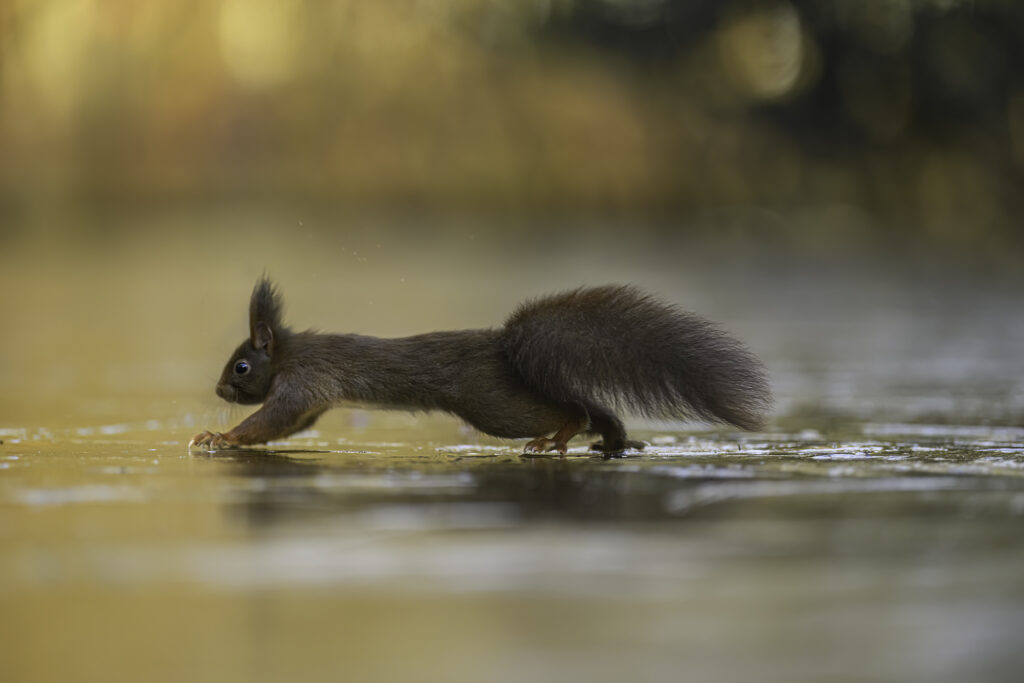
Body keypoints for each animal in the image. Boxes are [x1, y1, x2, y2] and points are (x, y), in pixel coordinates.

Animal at [190, 274, 770, 456]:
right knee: (596, 410)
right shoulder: (315, 396)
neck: (289, 354)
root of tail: (508, 345)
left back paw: (558, 438)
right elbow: (291, 425)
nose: (218, 392)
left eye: (241, 368)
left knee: (573, 409)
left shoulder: (305, 380)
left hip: (497, 405)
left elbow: (272, 418)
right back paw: (614, 439)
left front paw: (220, 437)